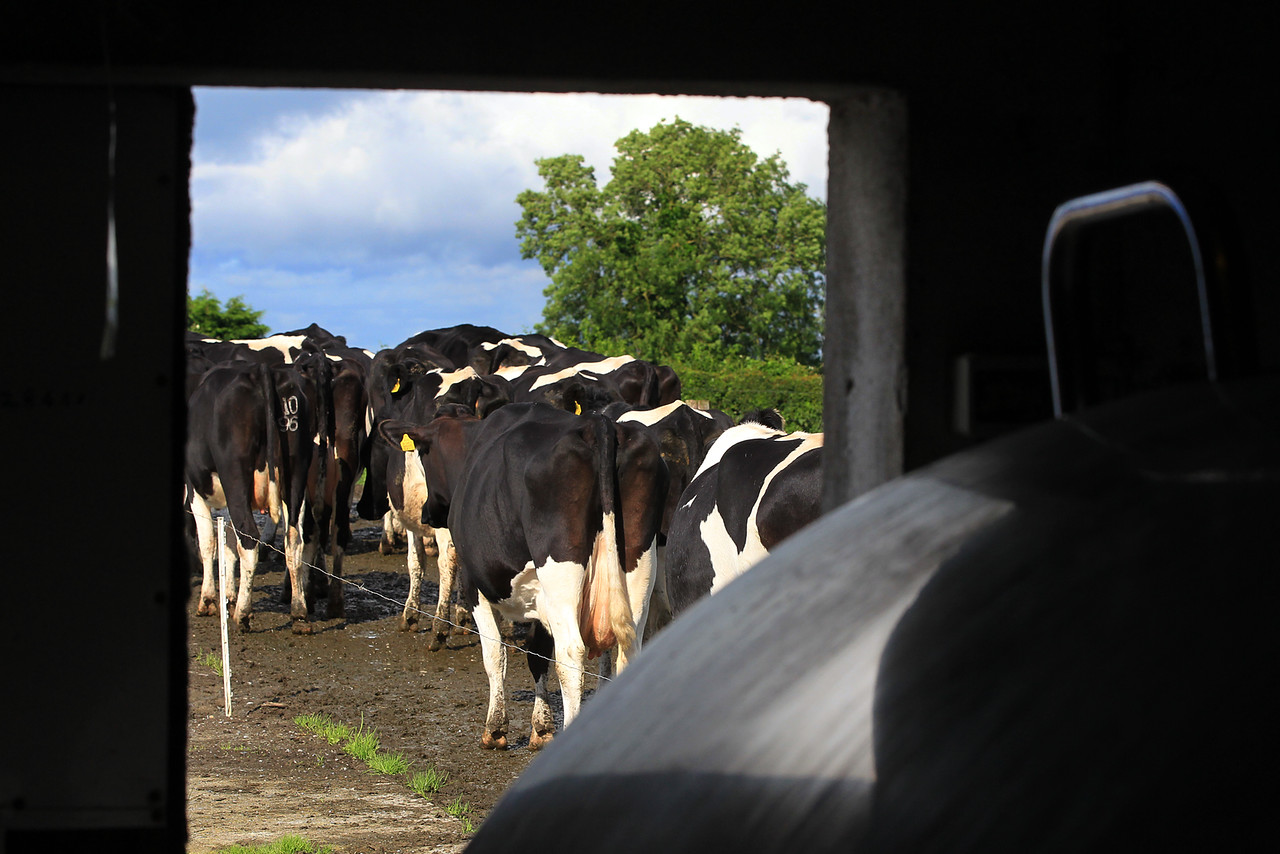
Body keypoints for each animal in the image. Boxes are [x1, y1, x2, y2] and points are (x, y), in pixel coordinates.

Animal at [381, 404, 670, 752]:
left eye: (424, 454)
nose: (425, 514)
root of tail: (597, 424)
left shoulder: (475, 583)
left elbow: (495, 654)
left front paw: (495, 728)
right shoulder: (538, 596)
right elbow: (537, 655)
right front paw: (541, 728)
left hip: (561, 574)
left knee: (571, 654)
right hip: (637, 569)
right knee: (630, 652)